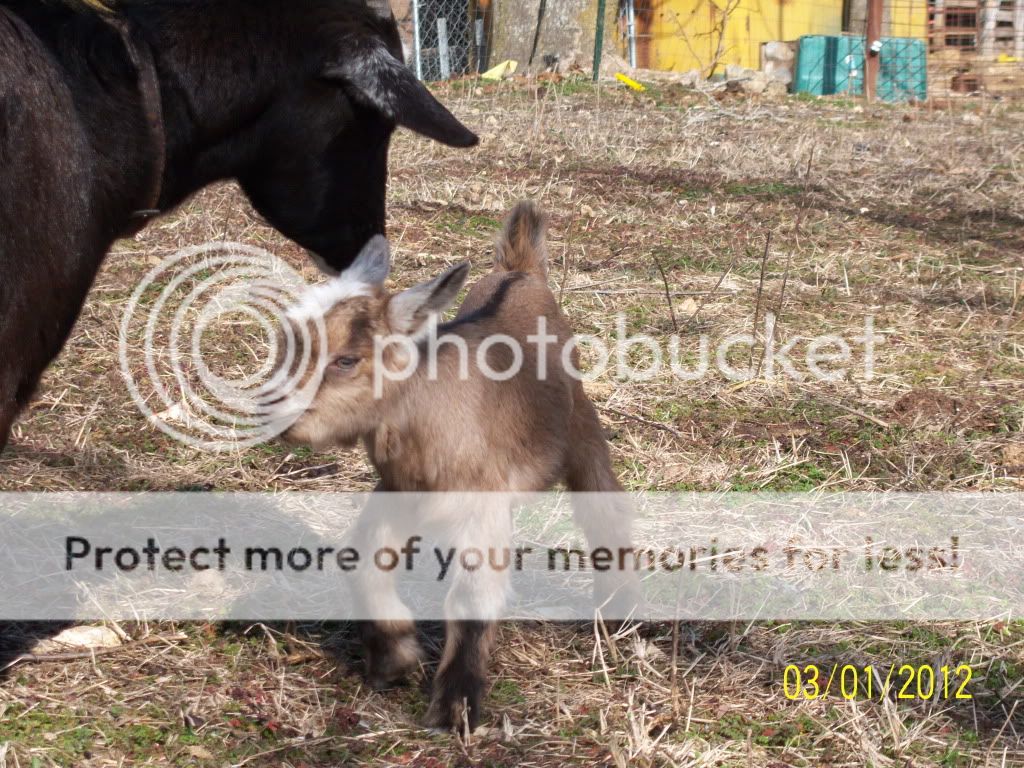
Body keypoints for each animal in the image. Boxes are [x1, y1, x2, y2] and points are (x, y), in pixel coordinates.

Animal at [277, 202, 640, 730]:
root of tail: (520, 272)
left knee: (603, 509)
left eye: (346, 360)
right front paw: (394, 661)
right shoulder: (399, 491)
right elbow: (361, 560)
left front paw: (455, 707)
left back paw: (618, 614)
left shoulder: (480, 504)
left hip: (582, 430)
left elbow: (470, 597)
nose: (276, 414)